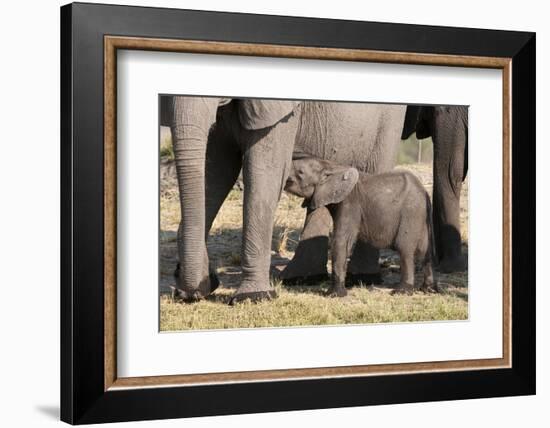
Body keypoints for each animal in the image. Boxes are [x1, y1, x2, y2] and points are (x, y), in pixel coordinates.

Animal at [286, 154, 442, 298]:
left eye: (300, 172)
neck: (332, 166)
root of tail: (425, 193)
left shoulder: (350, 204)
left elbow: (341, 241)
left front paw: (334, 295)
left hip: (411, 213)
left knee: (404, 248)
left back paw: (401, 291)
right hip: (422, 218)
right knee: (426, 251)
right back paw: (429, 289)